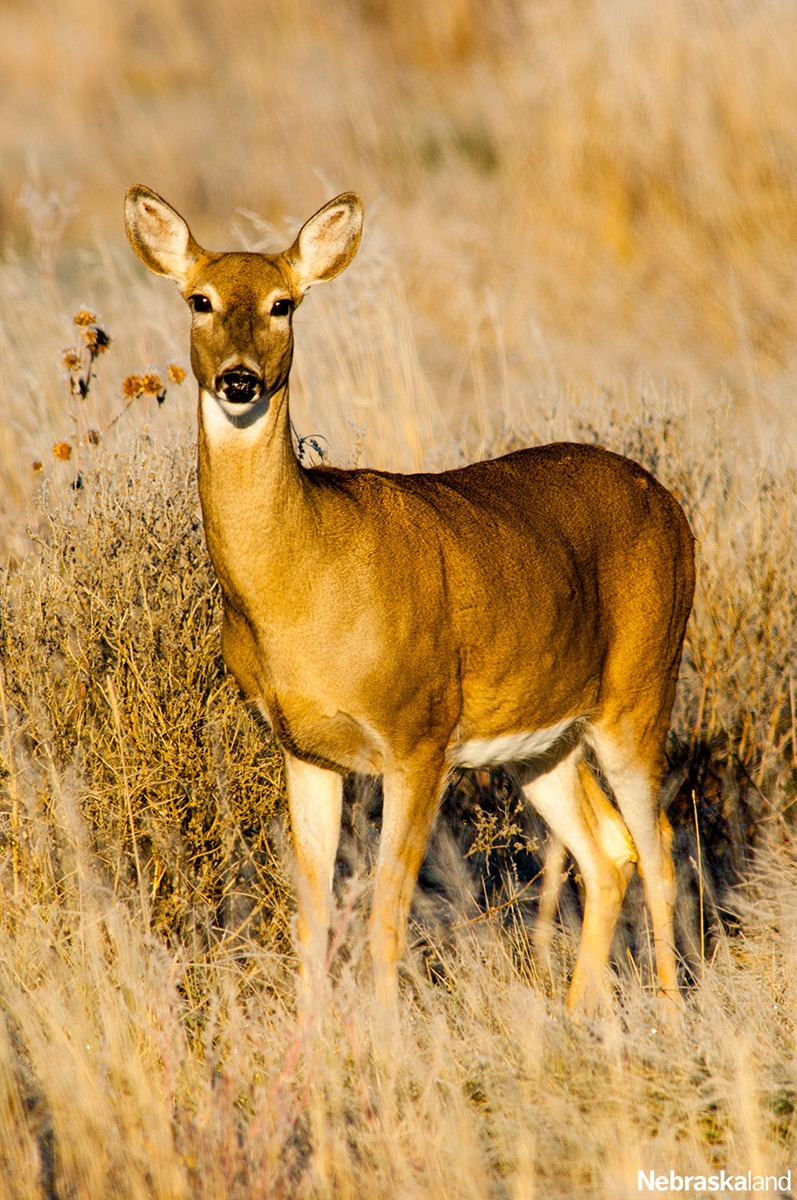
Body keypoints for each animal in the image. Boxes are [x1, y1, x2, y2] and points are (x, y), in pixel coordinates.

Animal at [125, 186, 695, 1014]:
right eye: (199, 299)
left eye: (283, 303)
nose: (238, 380)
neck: (301, 583)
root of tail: (672, 506)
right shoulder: (303, 749)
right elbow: (311, 916)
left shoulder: (418, 735)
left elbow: (386, 913)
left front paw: (383, 1035)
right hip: (543, 740)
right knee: (608, 851)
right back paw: (577, 1012)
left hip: (639, 693)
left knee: (660, 853)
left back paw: (668, 1015)